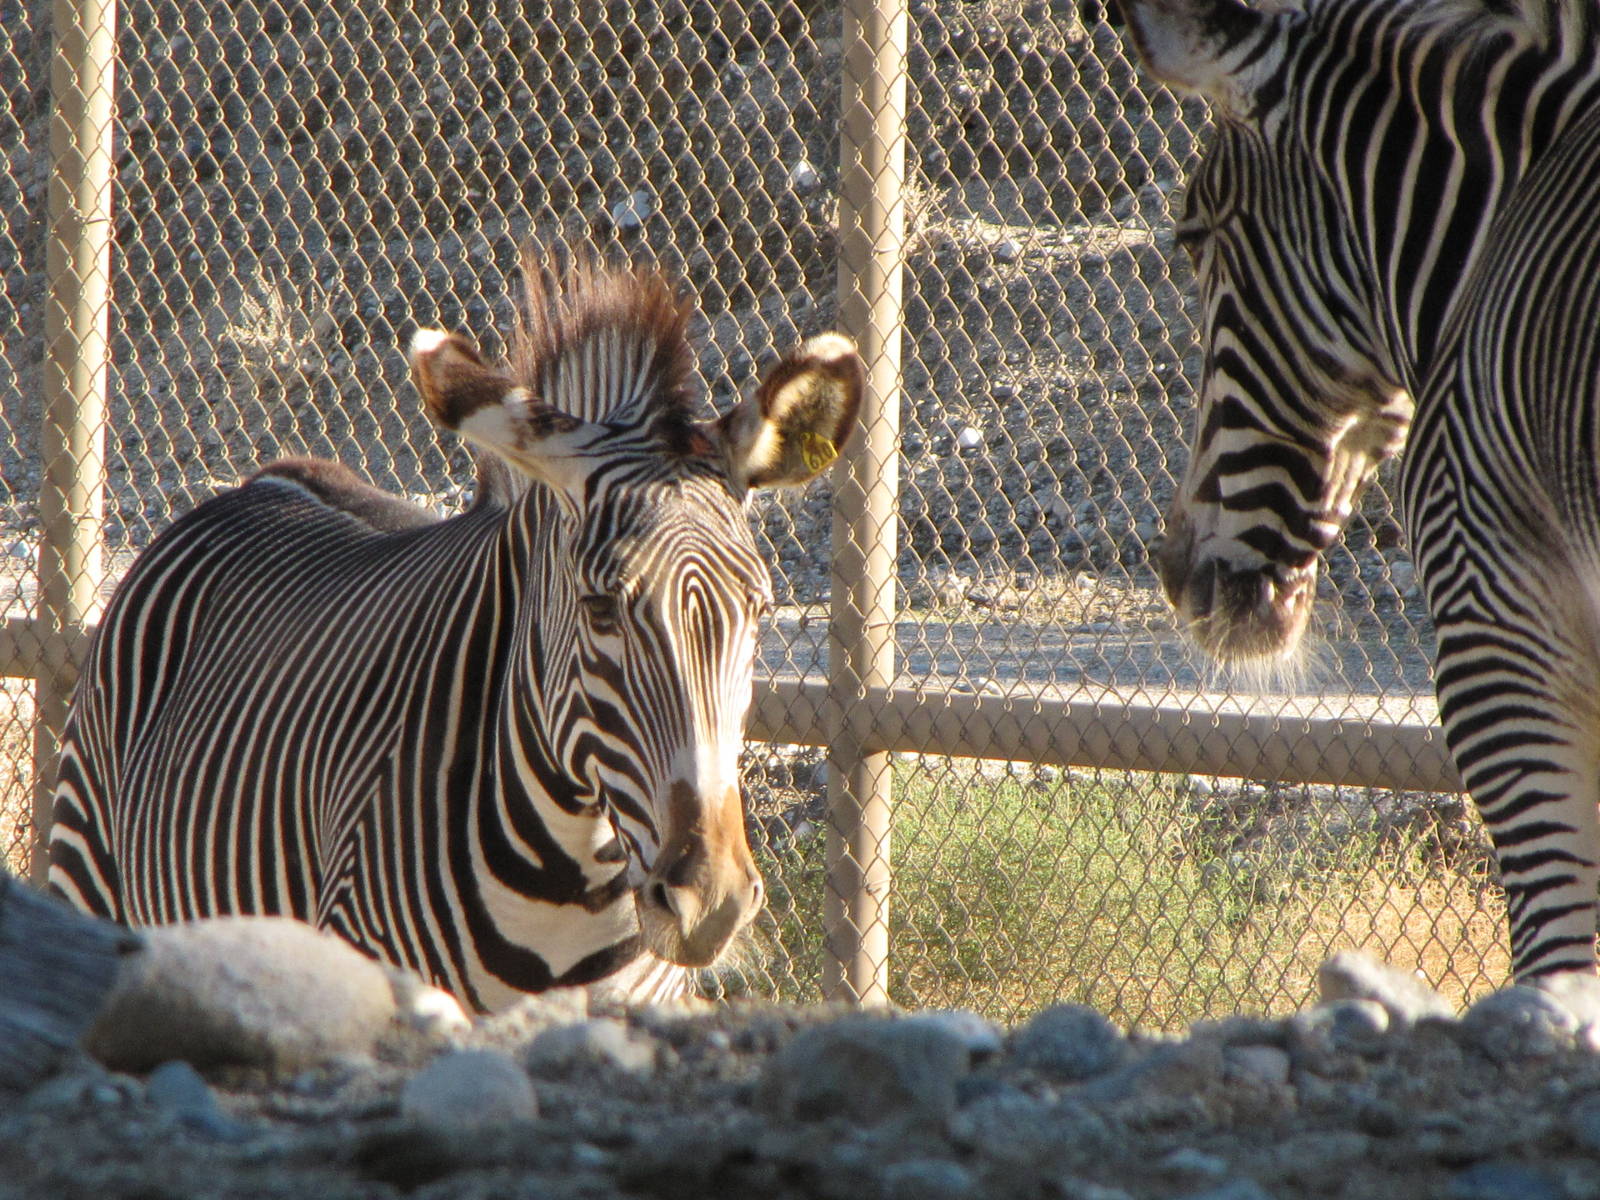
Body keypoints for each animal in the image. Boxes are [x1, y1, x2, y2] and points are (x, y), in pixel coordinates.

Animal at [47, 250, 863, 1012]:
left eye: (759, 611)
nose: (710, 904)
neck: (573, 882)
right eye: (600, 607)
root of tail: (261, 482)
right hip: (87, 871)